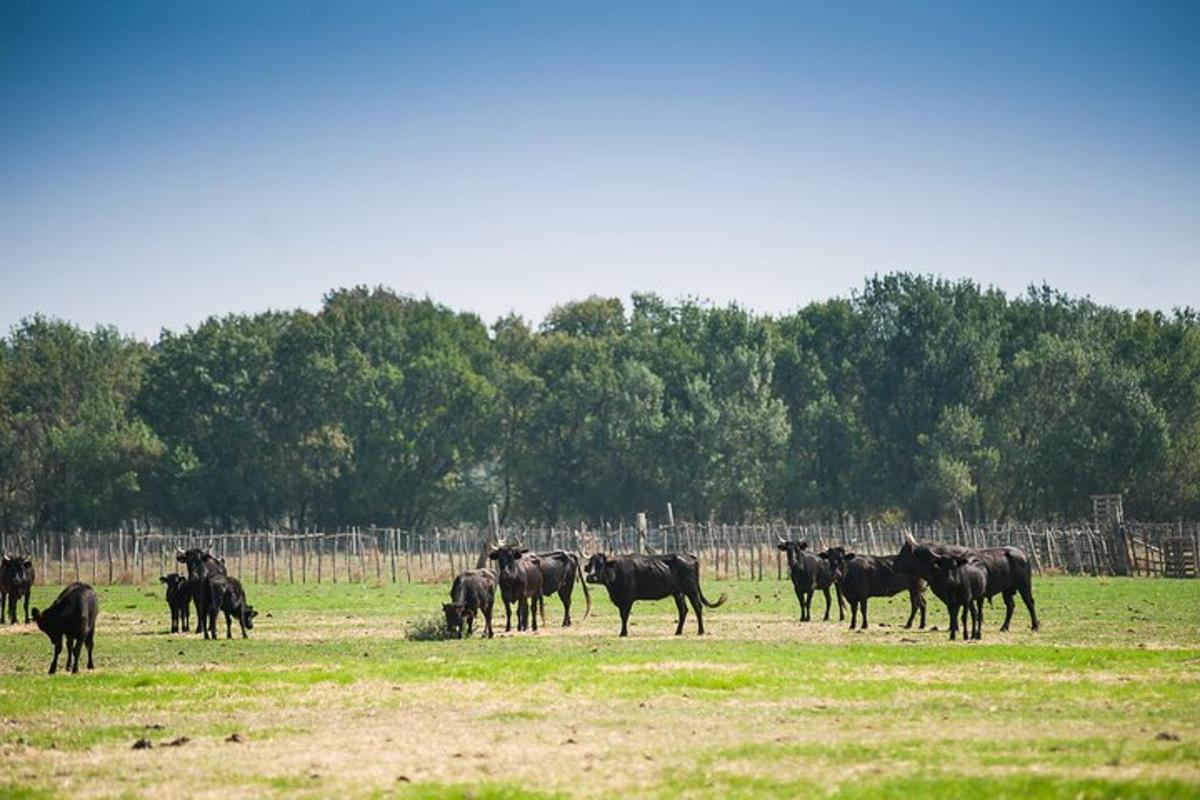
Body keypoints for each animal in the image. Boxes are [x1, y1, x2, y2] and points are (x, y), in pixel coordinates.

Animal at [583, 551, 724, 638]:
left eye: (601, 564)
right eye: (590, 565)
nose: (591, 577)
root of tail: (690, 557)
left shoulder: (627, 600)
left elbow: (624, 616)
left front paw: (623, 633)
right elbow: (622, 616)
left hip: (691, 590)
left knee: (697, 607)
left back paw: (700, 631)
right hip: (678, 593)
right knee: (683, 610)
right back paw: (678, 632)